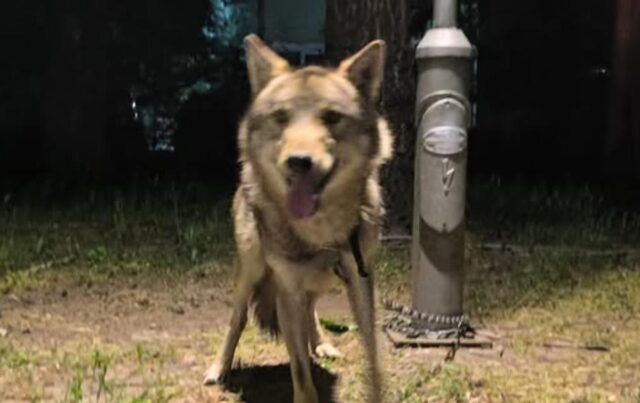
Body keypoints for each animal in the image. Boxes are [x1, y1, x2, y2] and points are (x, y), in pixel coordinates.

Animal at [203, 34, 394, 403]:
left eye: (332, 117)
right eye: (281, 117)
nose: (299, 161)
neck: (323, 233)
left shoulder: (361, 280)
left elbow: (374, 358)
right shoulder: (287, 289)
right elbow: (300, 373)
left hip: (322, 281)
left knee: (311, 310)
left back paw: (321, 345)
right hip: (251, 270)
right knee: (237, 320)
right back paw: (219, 369)